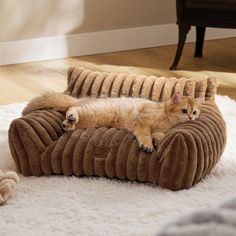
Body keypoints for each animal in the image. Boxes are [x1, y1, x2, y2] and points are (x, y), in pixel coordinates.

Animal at [22, 92, 203, 153]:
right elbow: (145, 135)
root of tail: (82, 98)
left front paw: (157, 141)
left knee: (71, 118)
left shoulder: (160, 130)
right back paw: (72, 116)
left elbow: (159, 135)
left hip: (90, 120)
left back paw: (68, 124)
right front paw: (147, 145)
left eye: (194, 112)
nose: (191, 118)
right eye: (184, 111)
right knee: (73, 108)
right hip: (92, 110)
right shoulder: (142, 122)